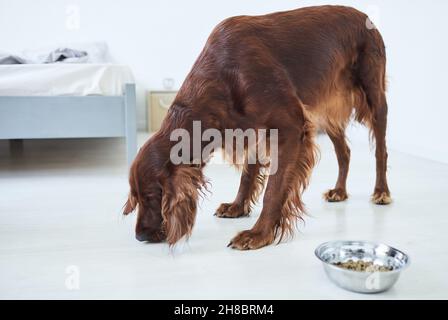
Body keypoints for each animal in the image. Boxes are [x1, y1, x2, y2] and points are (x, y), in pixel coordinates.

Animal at [123, 5, 392, 250]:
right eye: (135, 196)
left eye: (151, 196)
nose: (139, 235)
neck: (223, 77)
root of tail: (364, 15)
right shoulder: (251, 129)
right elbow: (248, 175)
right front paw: (237, 207)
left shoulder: (292, 128)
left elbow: (273, 190)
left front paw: (258, 234)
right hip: (326, 110)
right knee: (344, 151)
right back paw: (339, 190)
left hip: (374, 97)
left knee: (381, 150)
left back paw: (381, 191)